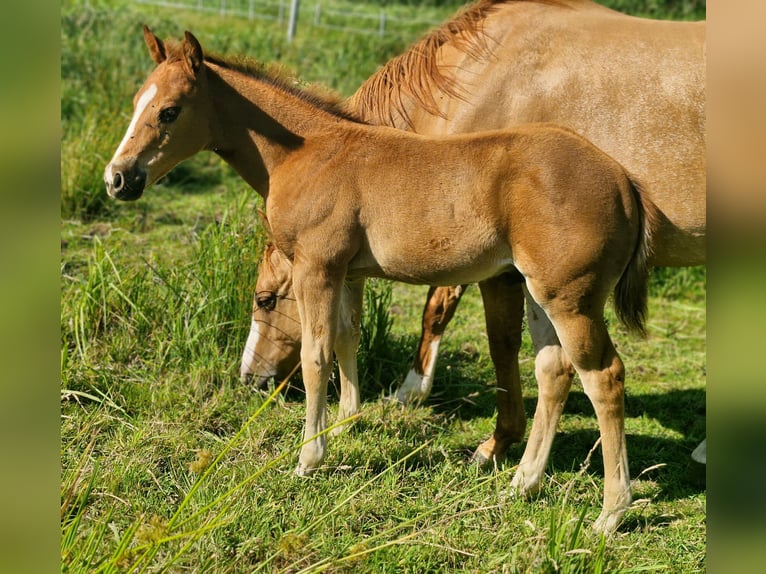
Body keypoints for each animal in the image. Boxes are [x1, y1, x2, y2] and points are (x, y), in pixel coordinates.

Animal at [104, 26, 662, 533]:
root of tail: (624, 181)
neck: (308, 153)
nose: (118, 178)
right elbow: (346, 338)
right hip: (536, 292)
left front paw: (309, 458)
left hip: (570, 298)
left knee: (604, 376)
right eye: (135, 103)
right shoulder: (348, 272)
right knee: (554, 372)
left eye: (170, 110)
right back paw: (522, 484)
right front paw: (347, 422)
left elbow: (315, 354)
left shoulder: (316, 267)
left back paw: (610, 513)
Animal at [240, 0, 706, 464]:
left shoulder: (492, 265)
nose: (250, 377)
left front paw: (437, 408)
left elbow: (471, 328)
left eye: (266, 299)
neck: (481, 79)